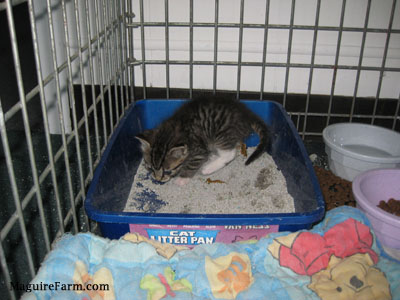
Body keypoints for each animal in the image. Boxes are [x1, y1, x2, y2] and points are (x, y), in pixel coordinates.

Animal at [136, 96, 270, 185]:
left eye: (168, 171)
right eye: (150, 168)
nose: (158, 179)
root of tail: (246, 115)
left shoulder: (198, 149)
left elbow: (192, 164)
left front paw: (183, 178)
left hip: (221, 133)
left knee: (230, 153)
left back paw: (208, 168)